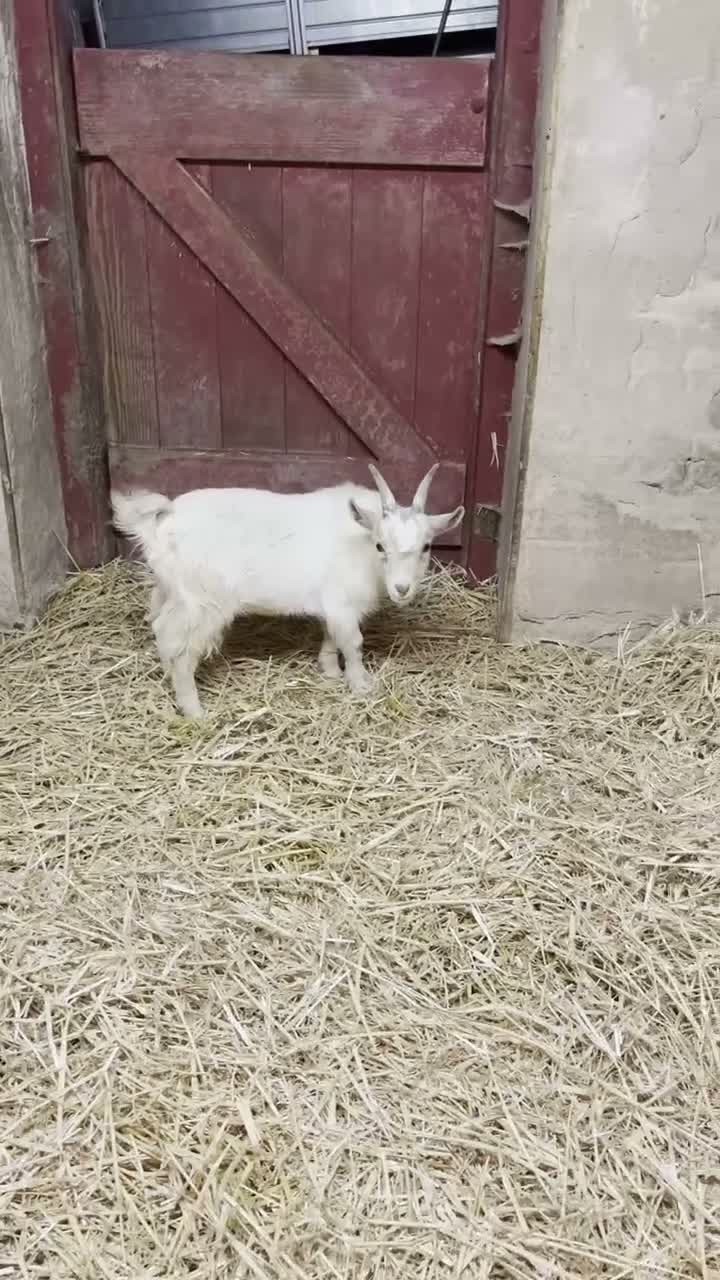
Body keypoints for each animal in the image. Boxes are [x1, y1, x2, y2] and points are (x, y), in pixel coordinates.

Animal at [111, 464, 464, 719]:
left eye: (426, 547)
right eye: (380, 545)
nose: (402, 589)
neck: (360, 543)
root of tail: (164, 519)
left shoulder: (333, 605)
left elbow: (331, 637)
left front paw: (330, 671)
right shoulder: (343, 604)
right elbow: (352, 643)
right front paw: (361, 684)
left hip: (172, 590)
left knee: (160, 624)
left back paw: (167, 675)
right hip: (203, 601)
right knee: (180, 647)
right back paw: (194, 710)